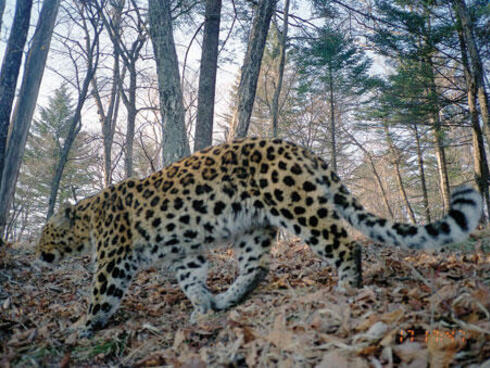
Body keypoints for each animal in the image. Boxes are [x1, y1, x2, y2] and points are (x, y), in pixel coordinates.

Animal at [35, 137, 482, 336]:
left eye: (45, 235)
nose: (39, 255)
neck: (89, 219)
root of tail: (299, 147)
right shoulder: (186, 252)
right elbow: (191, 280)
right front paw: (202, 307)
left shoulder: (113, 261)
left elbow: (100, 296)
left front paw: (79, 329)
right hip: (253, 226)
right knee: (258, 268)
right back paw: (227, 300)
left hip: (296, 206)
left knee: (344, 242)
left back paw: (347, 289)